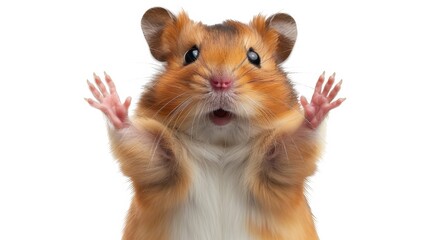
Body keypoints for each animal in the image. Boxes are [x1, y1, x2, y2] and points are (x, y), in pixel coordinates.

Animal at [86, 7, 344, 240]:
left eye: (254, 57)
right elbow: (137, 141)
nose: (221, 82)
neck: (221, 144)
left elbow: (296, 141)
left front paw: (323, 96)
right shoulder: (161, 165)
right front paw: (107, 96)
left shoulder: (278, 166)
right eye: (190, 55)